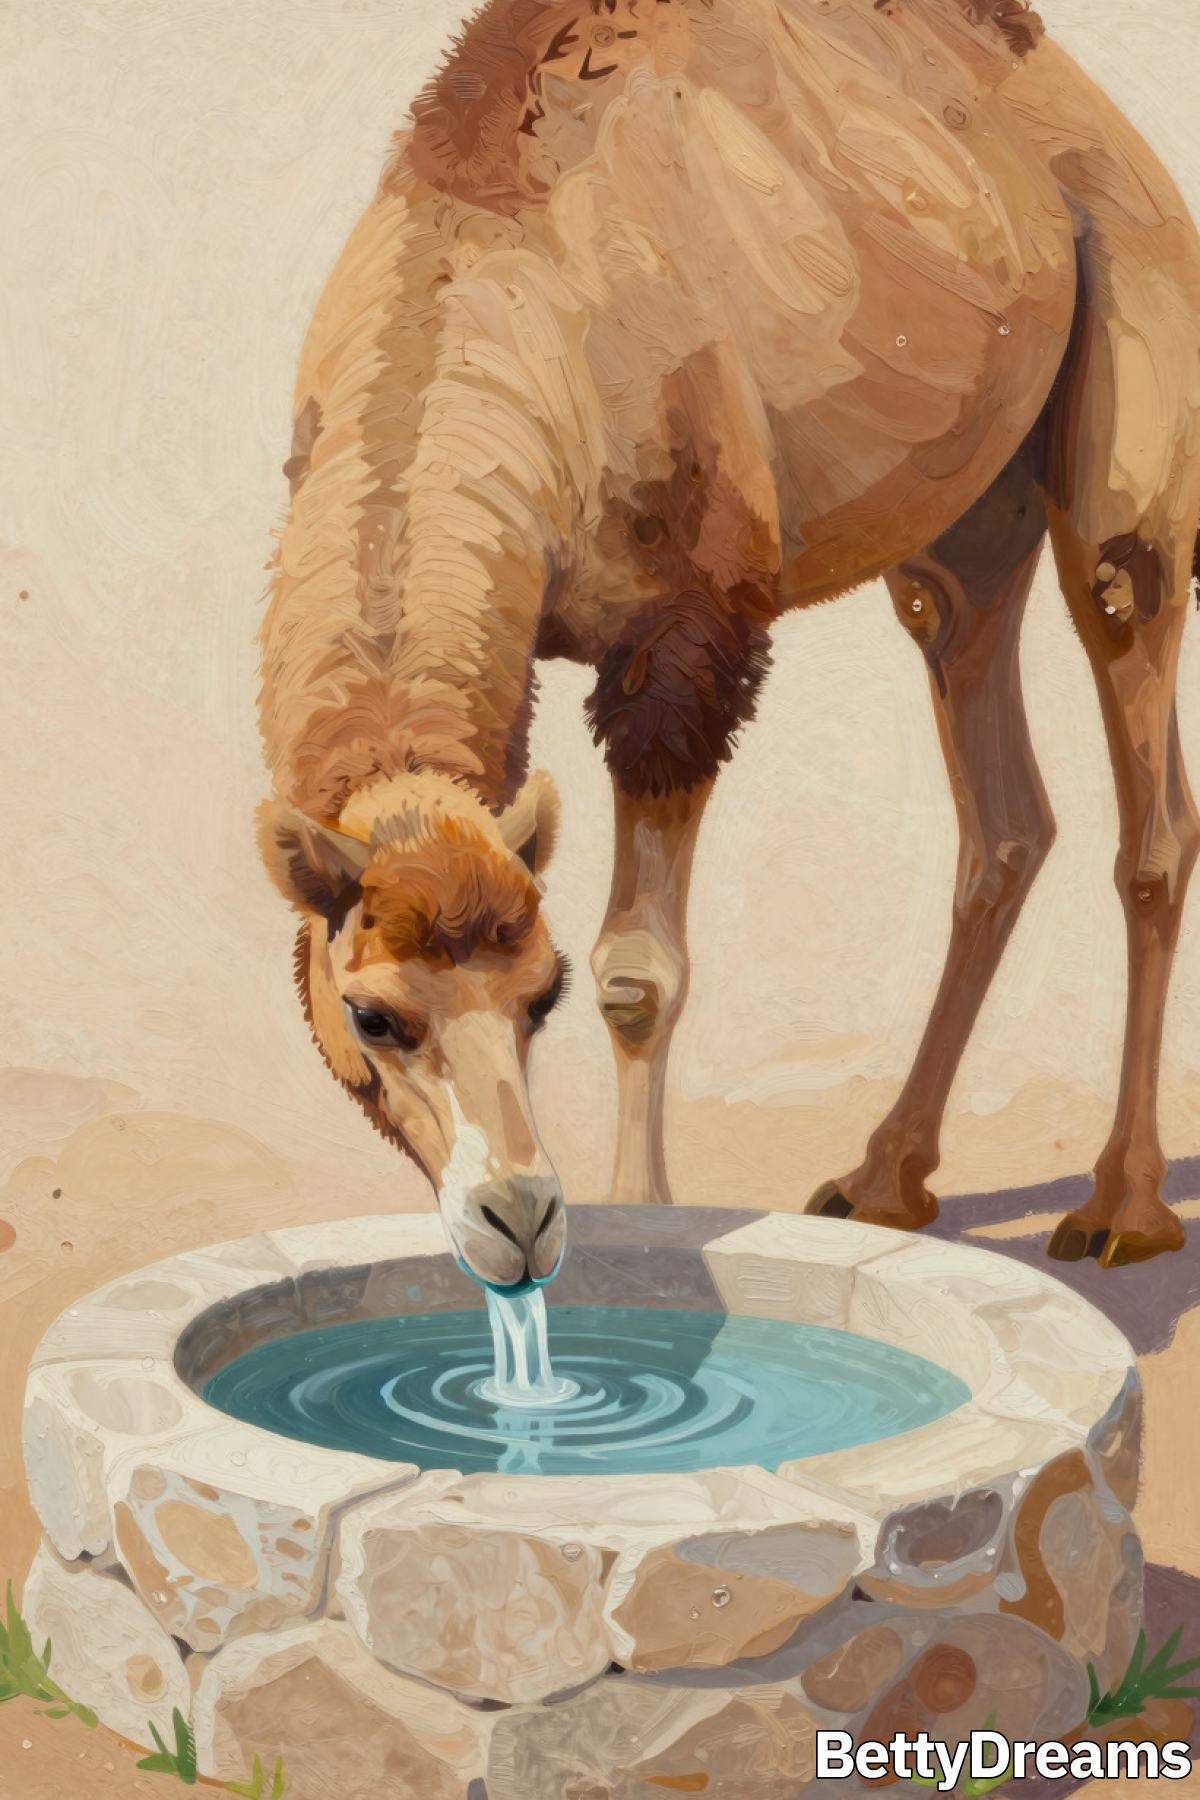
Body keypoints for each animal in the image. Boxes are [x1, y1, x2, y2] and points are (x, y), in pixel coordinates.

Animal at [257, 0, 1200, 1289]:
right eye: (369, 1015)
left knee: (1142, 737)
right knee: (1002, 809)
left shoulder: (689, 639)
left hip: (1132, 382)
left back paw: (1122, 1208)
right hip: (963, 525)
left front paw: (639, 1234)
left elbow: (639, 976)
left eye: (541, 994)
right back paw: (881, 1182)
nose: (515, 1212)